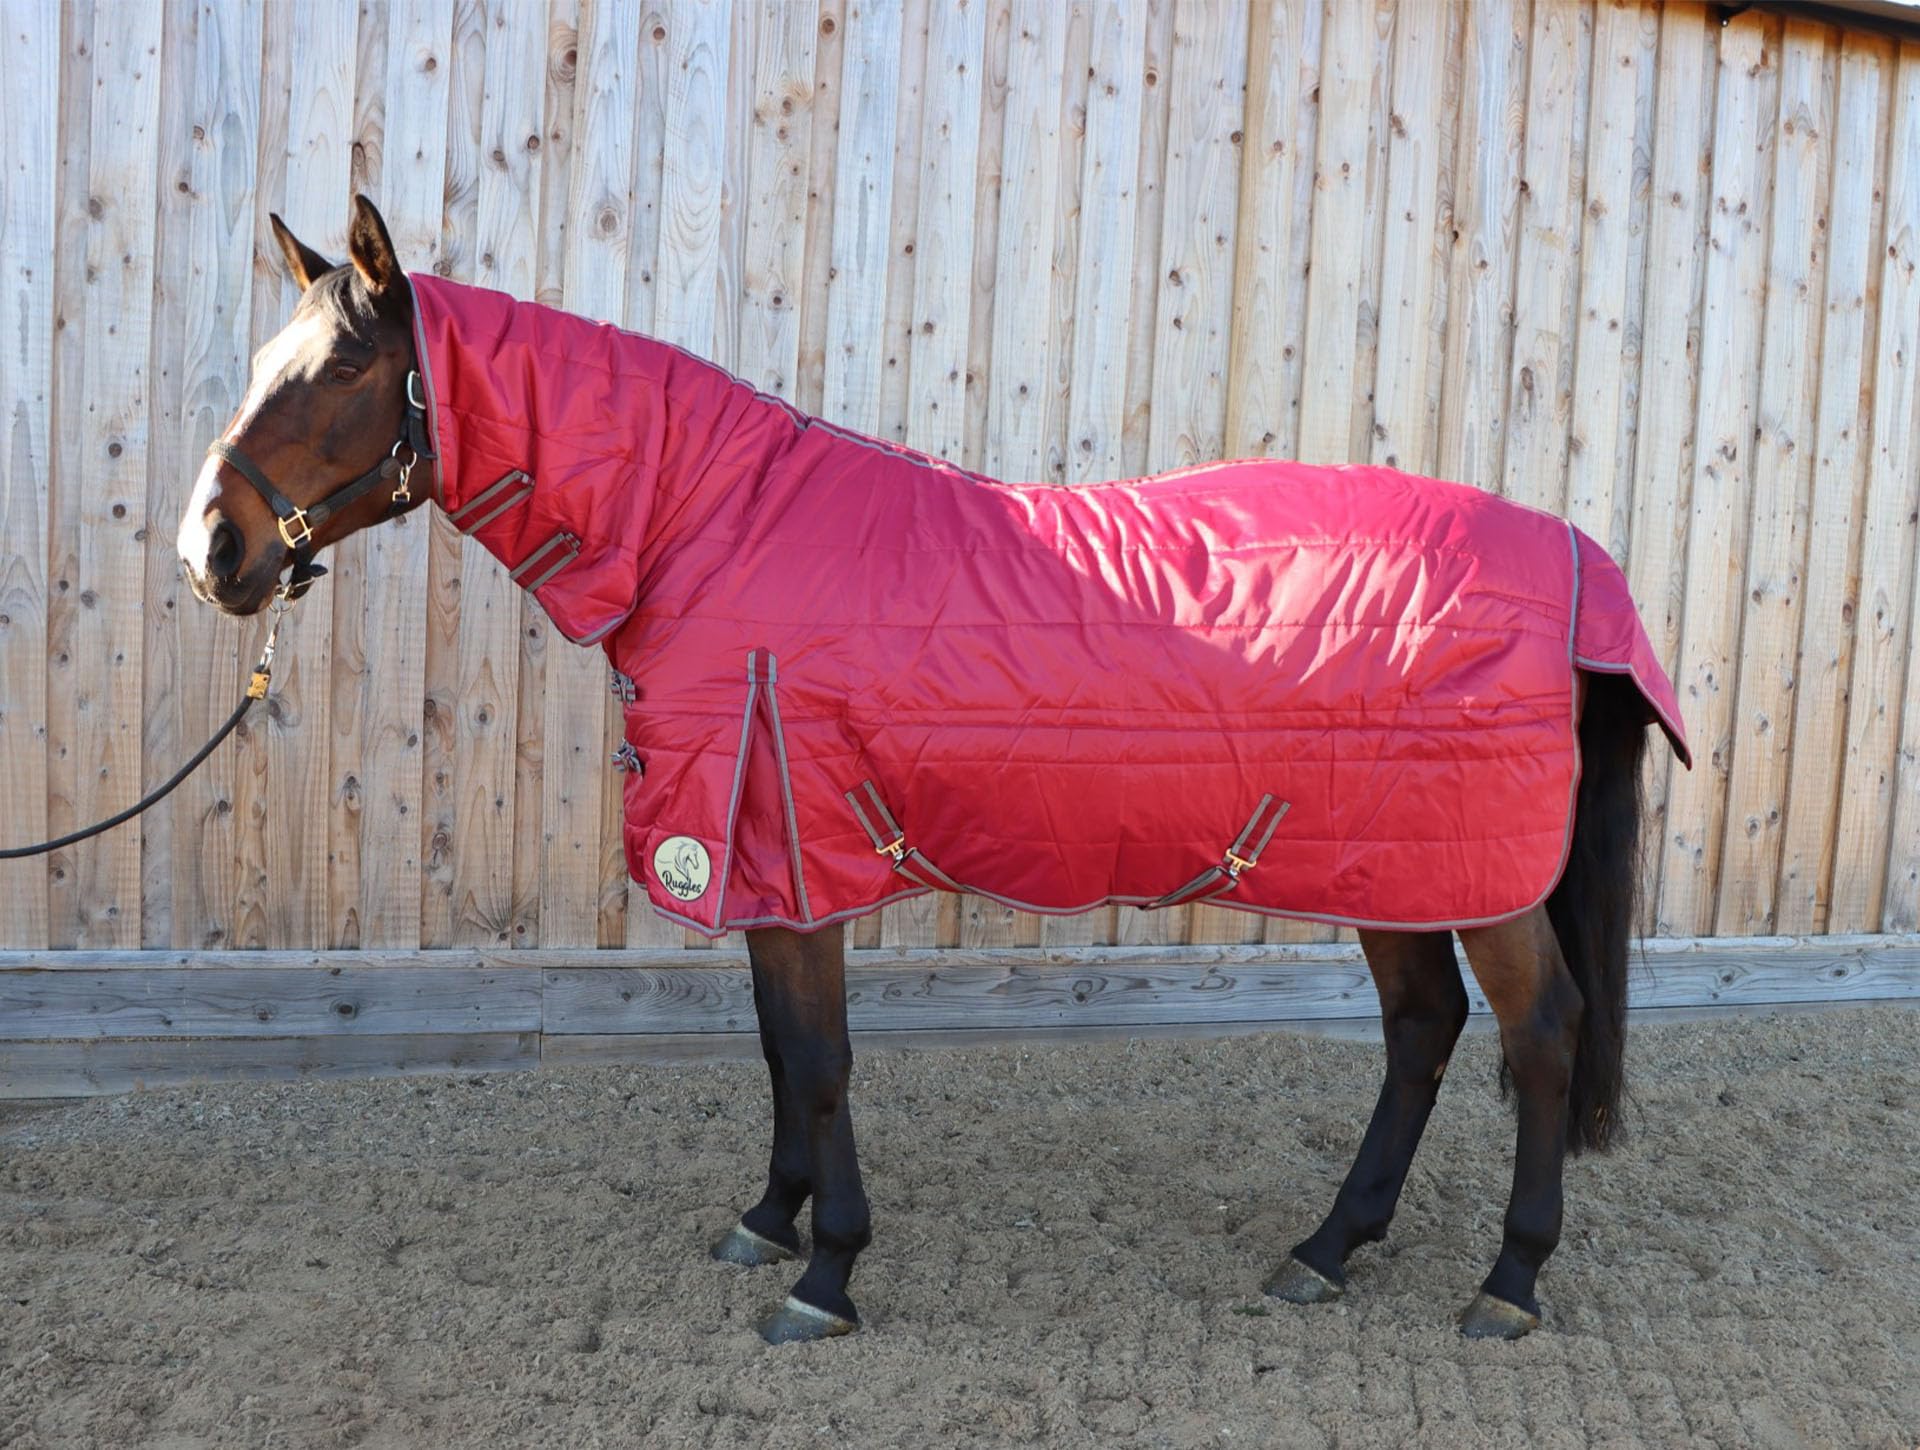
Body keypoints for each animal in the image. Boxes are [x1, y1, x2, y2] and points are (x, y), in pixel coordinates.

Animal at [177, 195, 1688, 1345]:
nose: (214, 551)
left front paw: (827, 1271)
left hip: (1482, 880)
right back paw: (1328, 1244)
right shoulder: (769, 859)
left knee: (1540, 1034)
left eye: (337, 373)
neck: (711, 527)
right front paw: (768, 1217)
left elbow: (820, 1060)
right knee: (1423, 1028)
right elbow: (780, 1053)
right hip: (1397, 864)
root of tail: (1574, 555)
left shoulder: (799, 853)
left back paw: (1509, 1278)